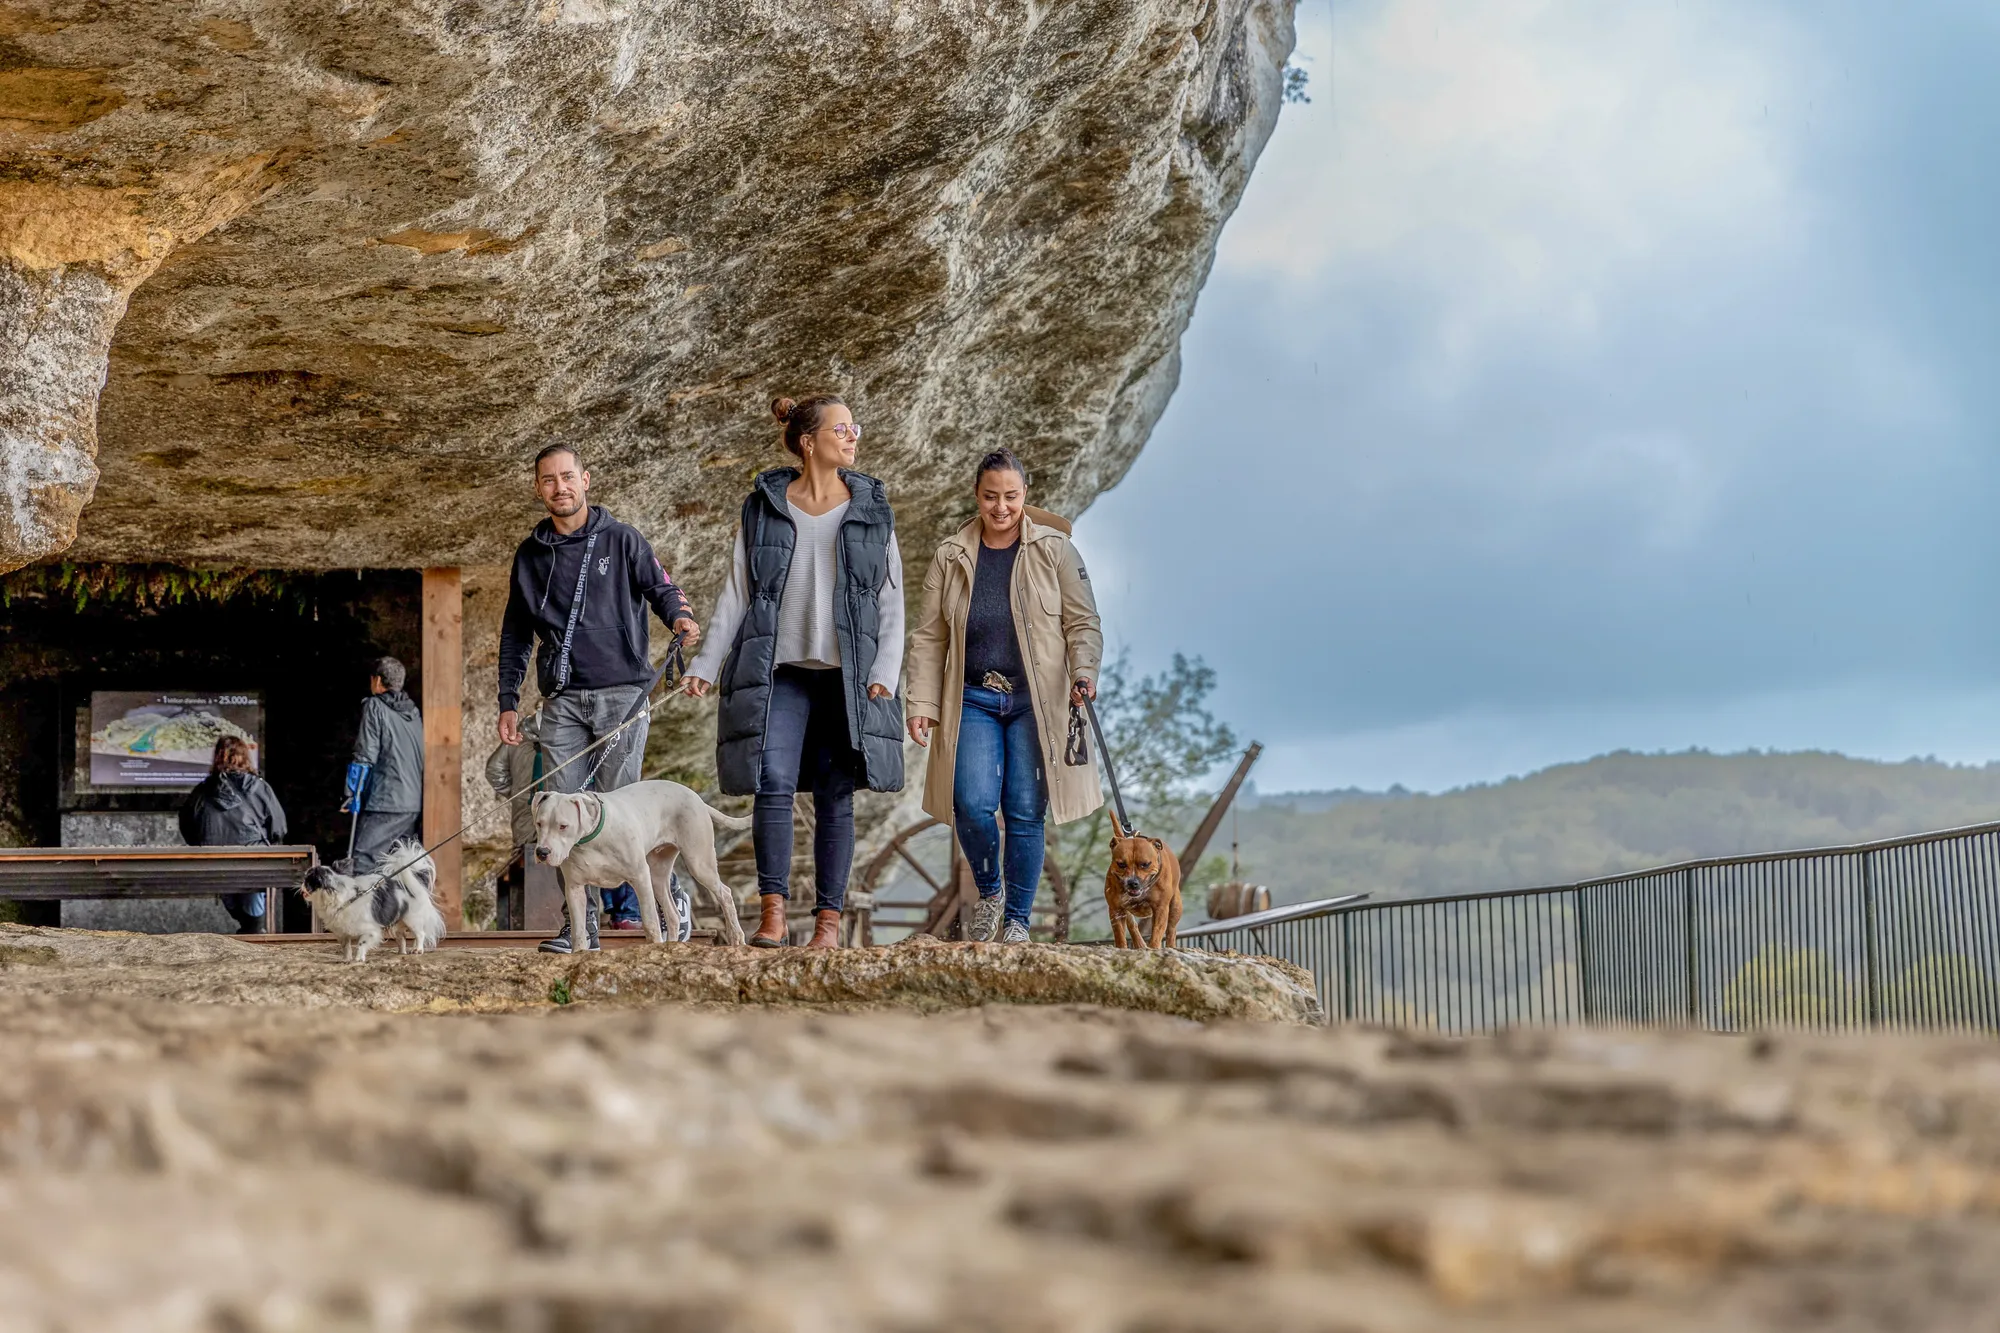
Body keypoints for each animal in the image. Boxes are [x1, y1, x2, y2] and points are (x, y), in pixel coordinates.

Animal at [296, 836, 446, 960]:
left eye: (307, 881)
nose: (301, 885)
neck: (345, 900)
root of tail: (414, 884)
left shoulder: (371, 931)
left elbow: (361, 944)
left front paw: (358, 959)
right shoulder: (343, 934)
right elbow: (346, 947)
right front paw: (346, 960)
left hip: (412, 919)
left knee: (420, 934)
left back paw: (417, 950)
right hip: (399, 924)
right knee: (402, 938)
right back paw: (402, 952)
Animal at [532, 780, 752, 944]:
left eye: (563, 826)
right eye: (539, 823)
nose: (542, 852)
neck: (591, 839)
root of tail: (695, 796)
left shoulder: (639, 877)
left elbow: (650, 923)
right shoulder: (575, 888)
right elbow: (578, 931)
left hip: (698, 863)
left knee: (725, 894)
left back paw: (737, 938)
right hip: (657, 874)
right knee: (673, 913)